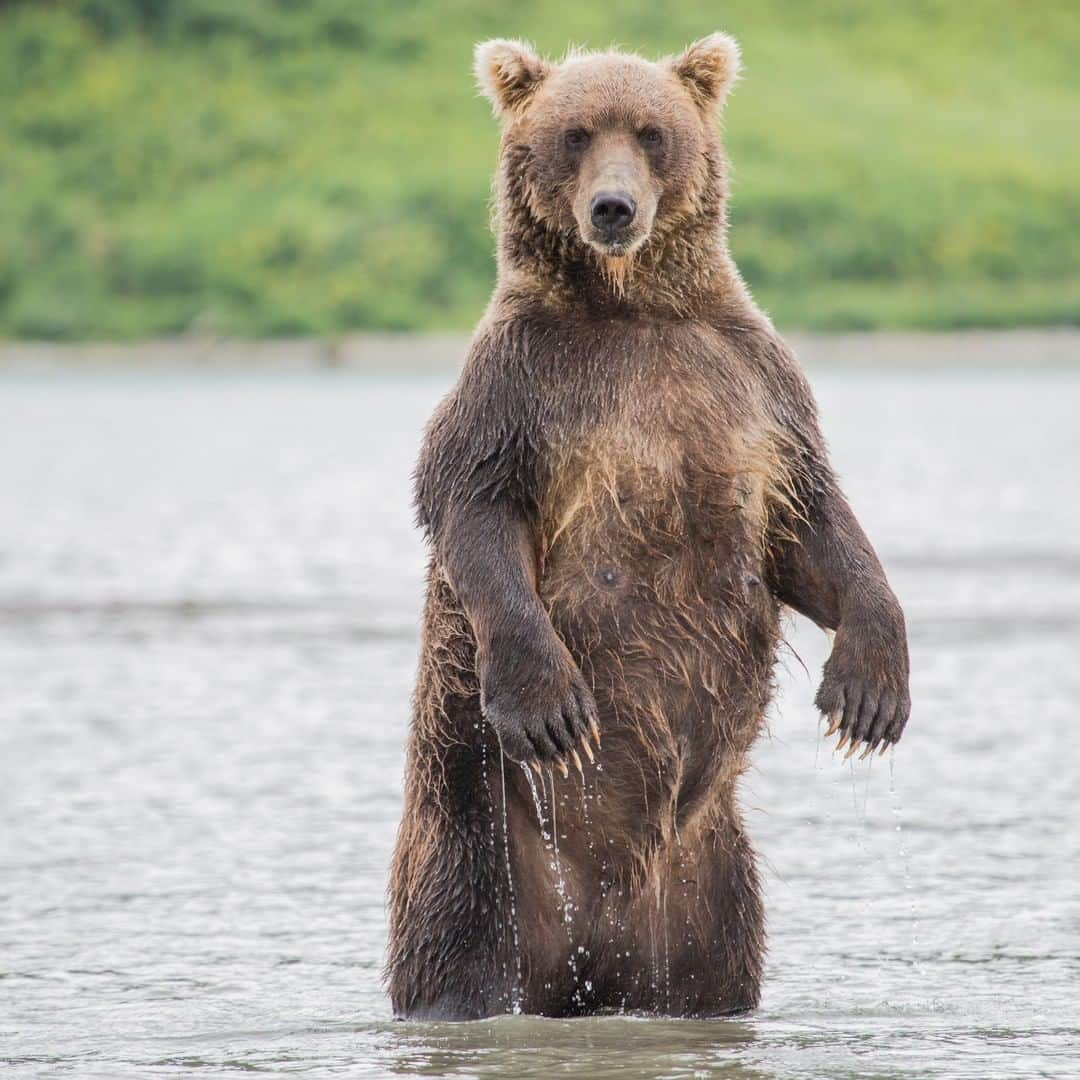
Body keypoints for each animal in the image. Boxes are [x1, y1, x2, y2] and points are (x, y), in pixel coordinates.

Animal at [384, 29, 907, 1015]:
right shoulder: (521, 388)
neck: (631, 306)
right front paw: (551, 706)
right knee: (454, 957)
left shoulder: (751, 384)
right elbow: (471, 504)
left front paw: (868, 691)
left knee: (722, 963)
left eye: (652, 131)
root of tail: (603, 949)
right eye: (575, 133)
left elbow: (812, 526)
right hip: (480, 845)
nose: (614, 207)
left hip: (712, 888)